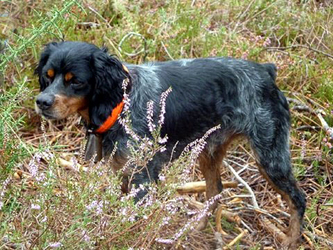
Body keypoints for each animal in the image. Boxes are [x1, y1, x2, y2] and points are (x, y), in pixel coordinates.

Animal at [35, 40, 304, 246]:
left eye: (76, 81)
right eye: (47, 77)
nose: (42, 102)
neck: (119, 104)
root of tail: (265, 71)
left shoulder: (142, 178)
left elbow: (132, 220)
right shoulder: (125, 173)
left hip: (270, 155)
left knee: (298, 199)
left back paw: (290, 241)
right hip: (210, 150)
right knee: (215, 191)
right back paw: (194, 228)